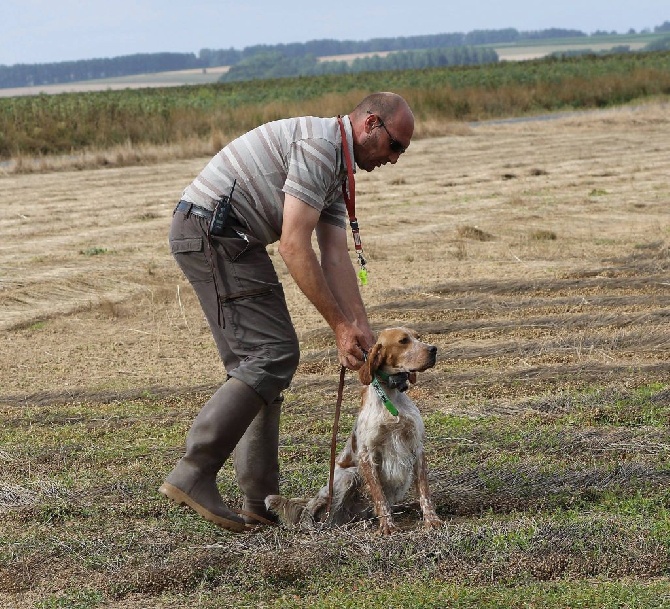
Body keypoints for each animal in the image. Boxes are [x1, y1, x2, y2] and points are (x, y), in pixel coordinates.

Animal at [268, 328, 446, 532]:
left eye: (418, 337)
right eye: (403, 341)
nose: (433, 349)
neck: (390, 395)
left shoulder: (416, 446)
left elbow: (424, 492)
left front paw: (431, 519)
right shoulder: (367, 454)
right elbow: (379, 496)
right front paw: (387, 526)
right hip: (347, 475)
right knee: (315, 510)